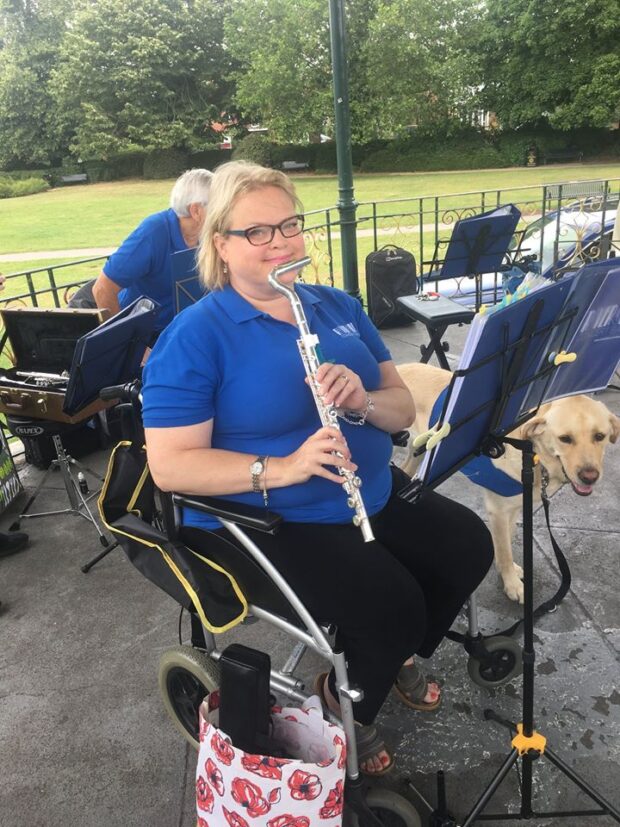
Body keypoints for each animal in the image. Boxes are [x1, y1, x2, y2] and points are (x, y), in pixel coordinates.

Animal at [398, 362, 620, 600]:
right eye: (565, 439)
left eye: (599, 436)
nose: (590, 476)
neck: (534, 454)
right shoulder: (498, 509)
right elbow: (504, 548)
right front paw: (512, 584)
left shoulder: (513, 506)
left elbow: (507, 539)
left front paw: (508, 570)